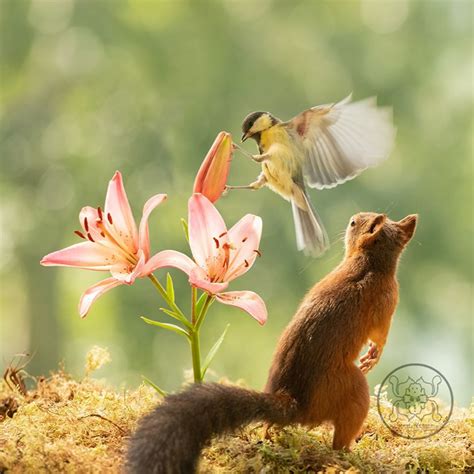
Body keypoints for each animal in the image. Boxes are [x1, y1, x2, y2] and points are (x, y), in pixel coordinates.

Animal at [127, 213, 418, 472]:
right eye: (355, 222)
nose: (352, 218)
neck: (370, 262)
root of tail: (295, 402)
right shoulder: (385, 303)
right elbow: (380, 335)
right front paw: (373, 355)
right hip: (354, 389)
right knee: (340, 439)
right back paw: (350, 452)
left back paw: (269, 434)